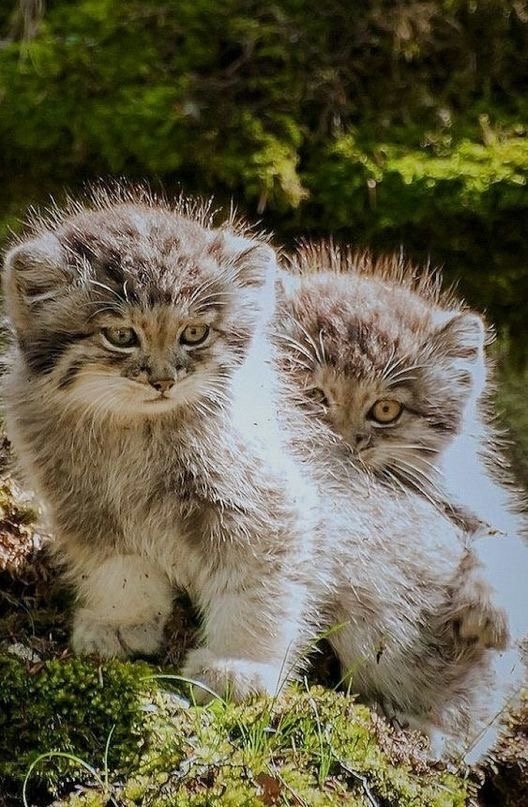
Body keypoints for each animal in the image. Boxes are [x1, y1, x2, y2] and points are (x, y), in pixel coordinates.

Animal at [1, 189, 322, 700]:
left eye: (194, 332)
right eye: (121, 335)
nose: (163, 381)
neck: (134, 436)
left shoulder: (260, 501)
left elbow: (258, 586)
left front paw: (242, 663)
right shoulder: (86, 504)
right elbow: (119, 569)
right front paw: (122, 620)